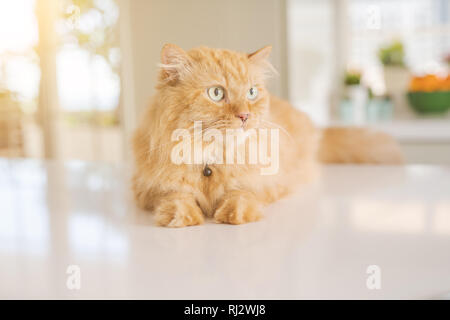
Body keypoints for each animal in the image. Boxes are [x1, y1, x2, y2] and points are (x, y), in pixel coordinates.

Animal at [132, 43, 402, 228]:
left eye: (251, 92)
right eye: (216, 93)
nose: (245, 116)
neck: (211, 162)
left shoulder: (267, 183)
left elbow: (241, 192)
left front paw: (235, 214)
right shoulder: (148, 189)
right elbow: (176, 195)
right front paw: (181, 216)